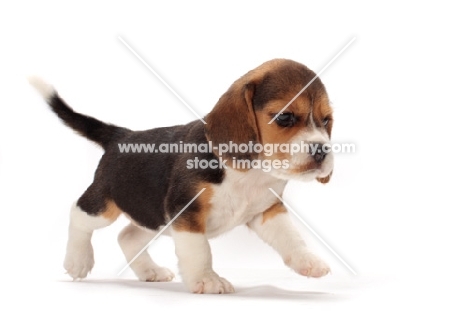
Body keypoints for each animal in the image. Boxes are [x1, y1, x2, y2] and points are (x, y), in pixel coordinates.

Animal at [29, 58, 334, 294]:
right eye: (284, 117)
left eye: (326, 120)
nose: (321, 150)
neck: (250, 172)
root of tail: (121, 135)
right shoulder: (186, 212)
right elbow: (199, 250)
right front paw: (207, 280)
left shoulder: (267, 210)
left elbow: (290, 236)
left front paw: (308, 261)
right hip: (106, 205)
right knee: (78, 214)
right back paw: (77, 260)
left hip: (152, 214)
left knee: (127, 236)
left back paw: (149, 271)